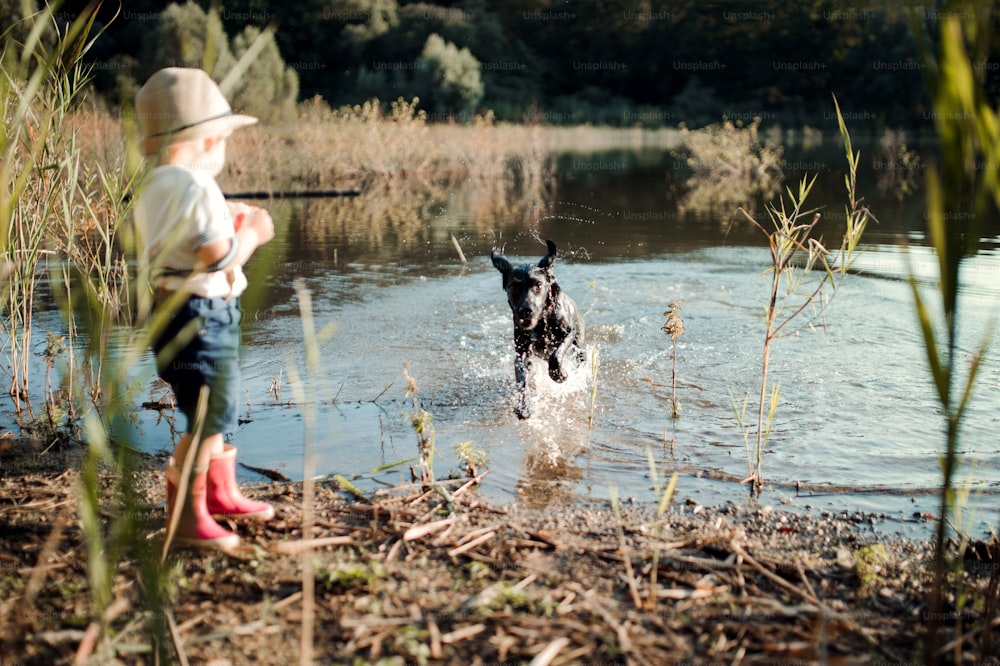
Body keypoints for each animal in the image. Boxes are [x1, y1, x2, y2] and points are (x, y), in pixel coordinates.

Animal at [492, 239, 584, 416]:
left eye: (539, 285)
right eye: (514, 287)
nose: (526, 310)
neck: (542, 322)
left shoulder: (568, 333)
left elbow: (556, 356)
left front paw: (560, 375)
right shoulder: (521, 351)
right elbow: (521, 378)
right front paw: (522, 406)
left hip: (580, 346)